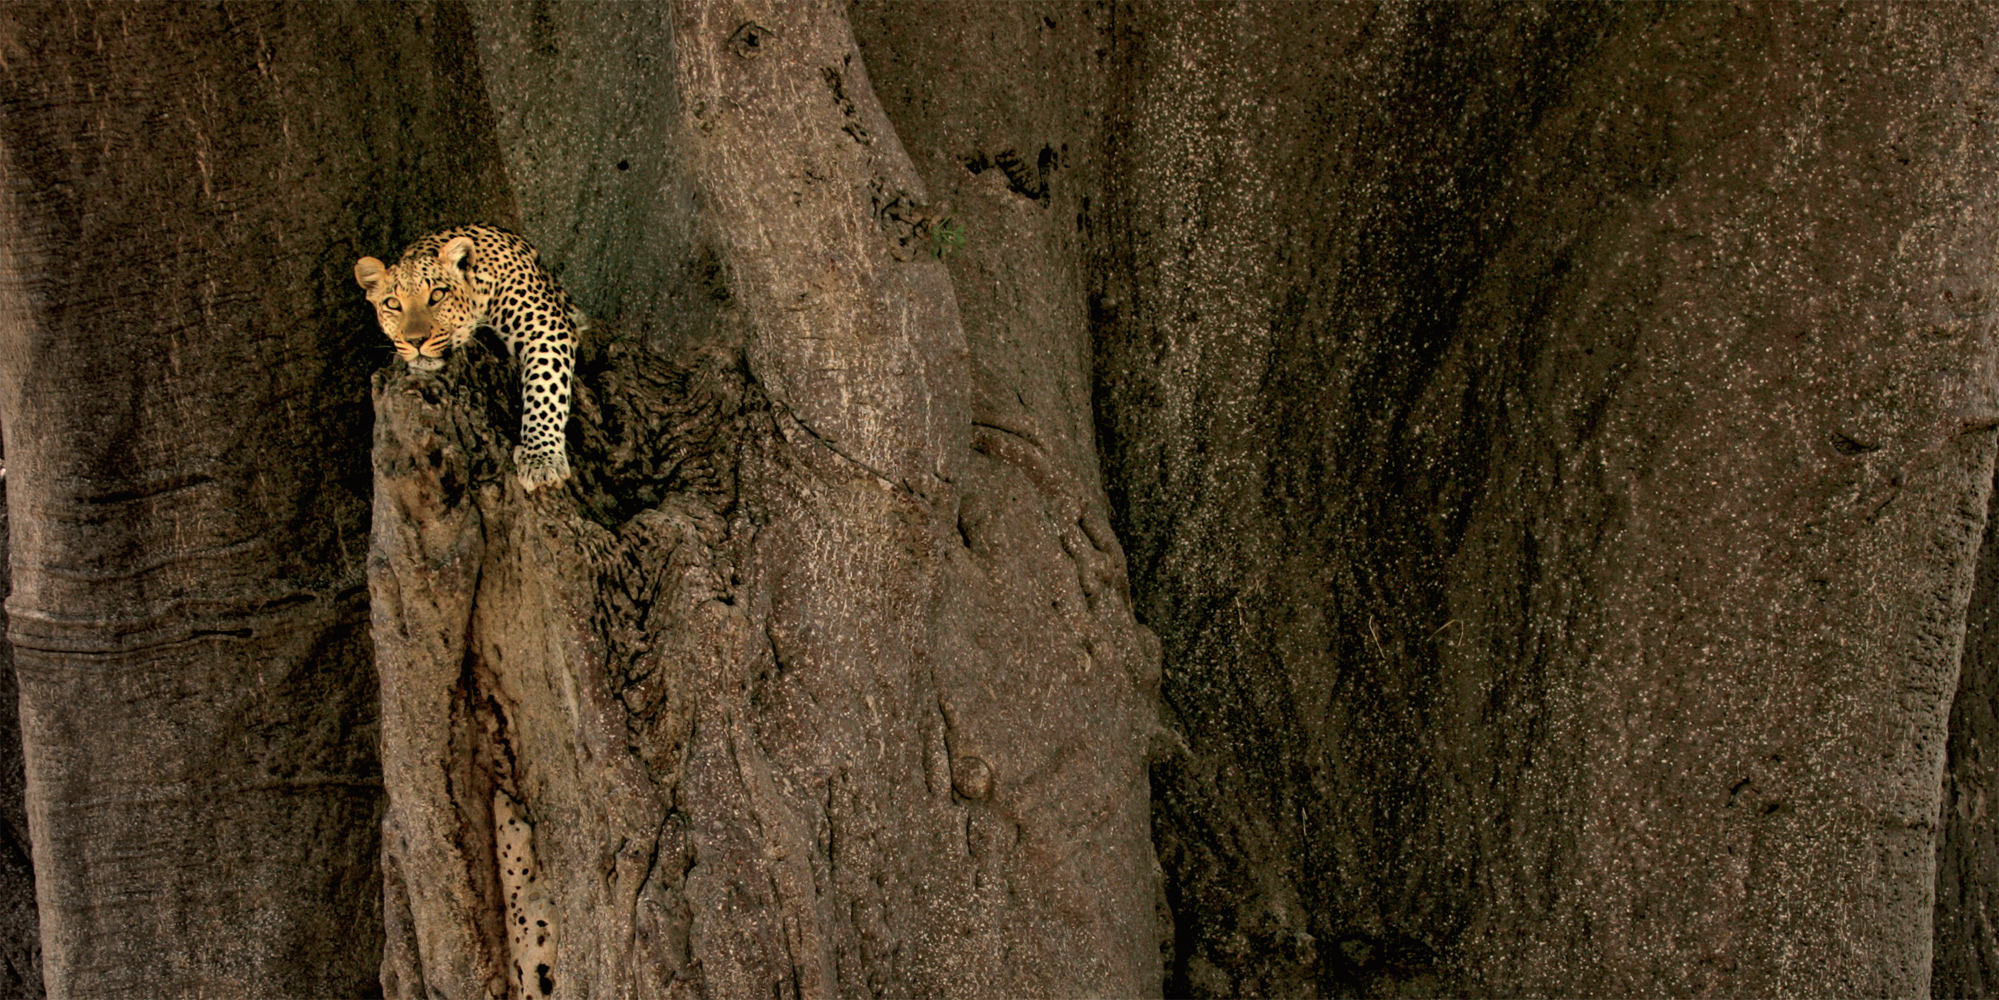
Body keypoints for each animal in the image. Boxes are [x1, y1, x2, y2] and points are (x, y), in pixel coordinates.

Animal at [355, 225, 579, 494]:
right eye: (393, 303)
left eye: (437, 295)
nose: (416, 340)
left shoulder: (546, 329)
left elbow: (545, 391)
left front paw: (541, 460)